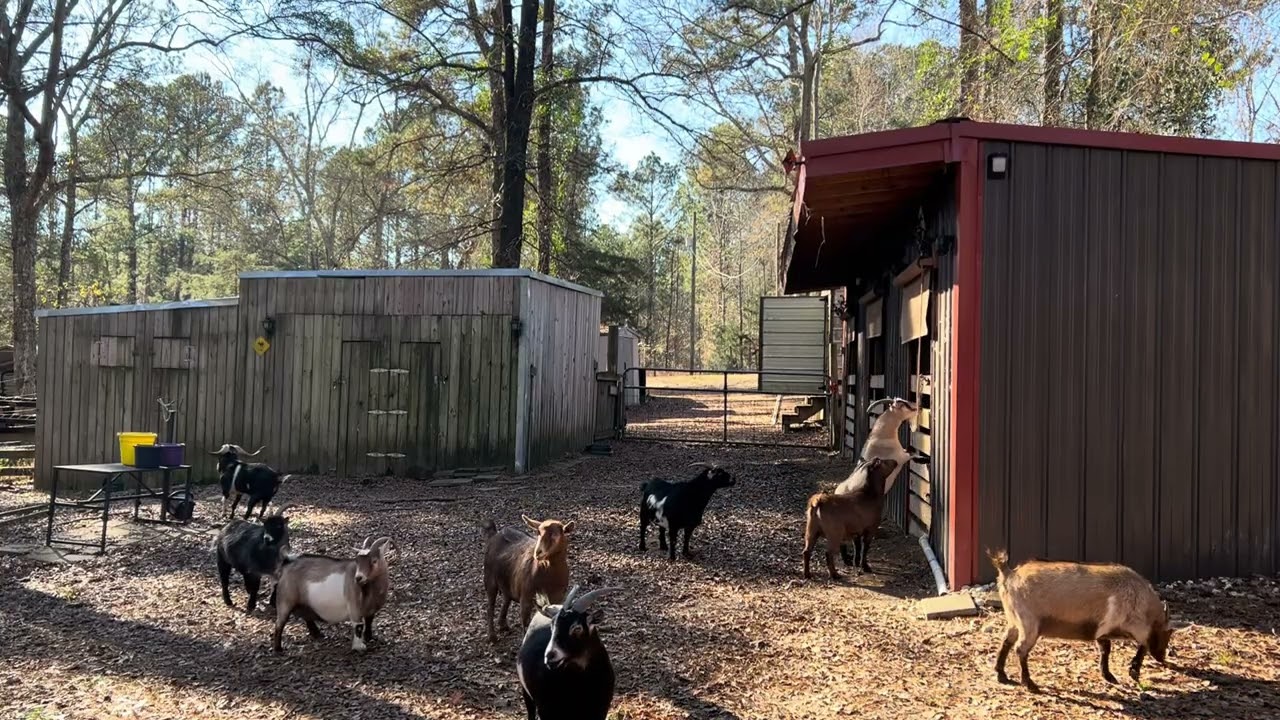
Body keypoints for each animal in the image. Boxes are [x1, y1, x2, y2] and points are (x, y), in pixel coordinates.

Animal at [517, 585, 619, 720]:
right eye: (552, 626)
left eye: (577, 628)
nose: (550, 655)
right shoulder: (546, 711)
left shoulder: (601, 710)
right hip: (526, 693)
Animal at [989, 549, 1184, 692]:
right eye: (1167, 634)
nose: (1162, 657)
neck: (1138, 598)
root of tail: (1009, 574)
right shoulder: (1115, 627)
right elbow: (1137, 646)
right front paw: (1133, 671)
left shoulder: (1102, 630)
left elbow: (1106, 649)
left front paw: (1109, 675)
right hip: (1029, 624)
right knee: (1020, 649)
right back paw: (1029, 683)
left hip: (1014, 620)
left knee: (1006, 641)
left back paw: (1001, 675)